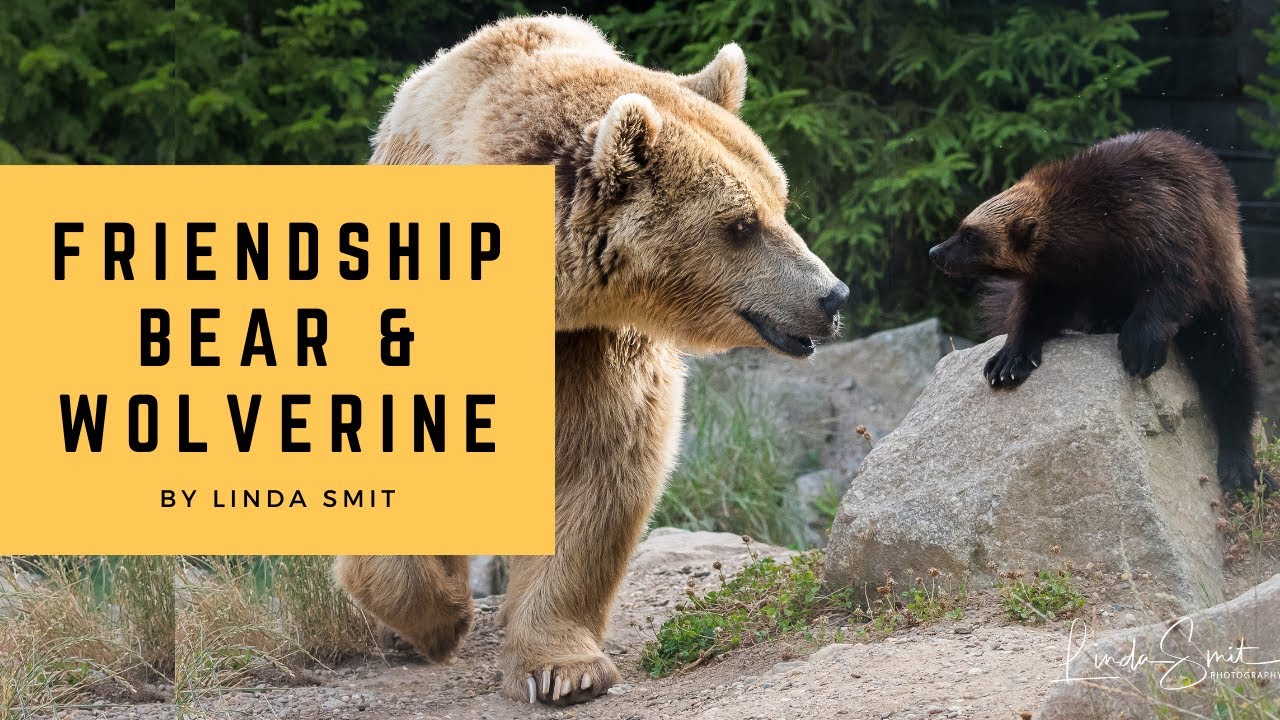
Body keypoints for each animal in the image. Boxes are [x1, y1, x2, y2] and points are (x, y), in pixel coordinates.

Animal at [334, 15, 848, 706]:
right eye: (741, 224)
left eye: (781, 201)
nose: (832, 296)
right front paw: (439, 617)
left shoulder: (595, 342)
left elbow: (601, 465)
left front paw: (562, 668)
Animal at [929, 129, 1275, 492]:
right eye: (961, 227)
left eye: (970, 236)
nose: (935, 251)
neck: (1094, 218)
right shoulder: (1061, 275)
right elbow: (1034, 311)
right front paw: (1010, 357)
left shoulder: (1164, 219)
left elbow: (1177, 279)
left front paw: (1142, 343)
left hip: (1223, 307)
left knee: (1230, 369)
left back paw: (1240, 465)